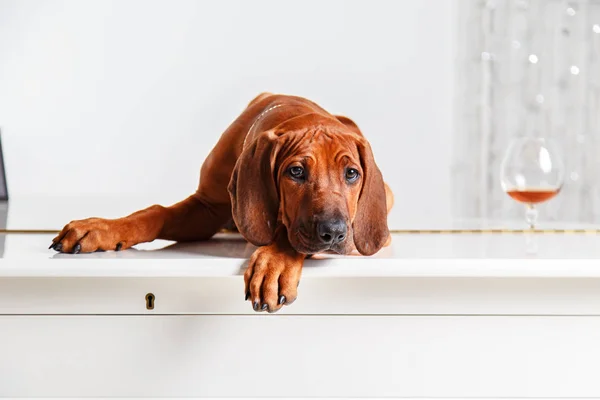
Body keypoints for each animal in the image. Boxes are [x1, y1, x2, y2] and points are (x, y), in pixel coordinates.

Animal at [49, 94, 392, 312]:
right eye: (296, 172)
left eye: (351, 174)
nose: (333, 234)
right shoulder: (205, 207)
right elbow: (155, 213)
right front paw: (101, 228)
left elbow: (288, 235)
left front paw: (274, 264)